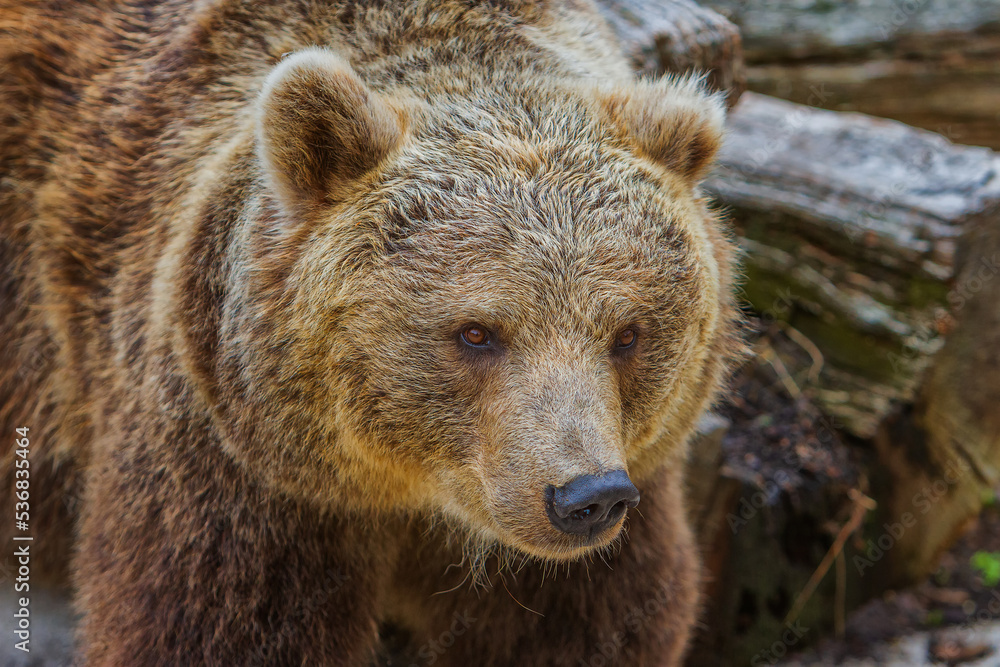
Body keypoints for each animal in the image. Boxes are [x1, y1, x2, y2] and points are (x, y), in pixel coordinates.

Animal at [0, 0, 742, 665]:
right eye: (477, 332)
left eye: (628, 333)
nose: (585, 496)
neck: (416, 491)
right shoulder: (239, 470)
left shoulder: (618, 498)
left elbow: (588, 624)